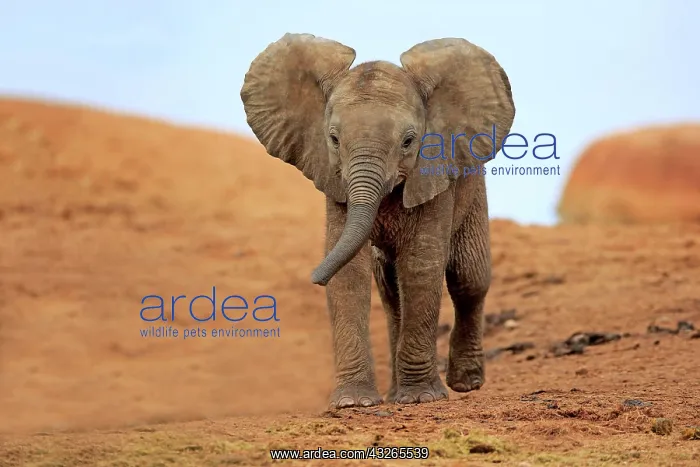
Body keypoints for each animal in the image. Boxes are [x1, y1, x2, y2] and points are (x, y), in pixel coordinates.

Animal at [240, 33, 515, 408]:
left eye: (409, 141)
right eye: (334, 139)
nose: (313, 278)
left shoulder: (432, 173)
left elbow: (421, 265)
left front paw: (420, 399)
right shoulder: (336, 183)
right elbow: (350, 271)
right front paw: (354, 403)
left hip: (472, 186)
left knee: (468, 277)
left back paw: (464, 384)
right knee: (389, 289)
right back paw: (396, 392)